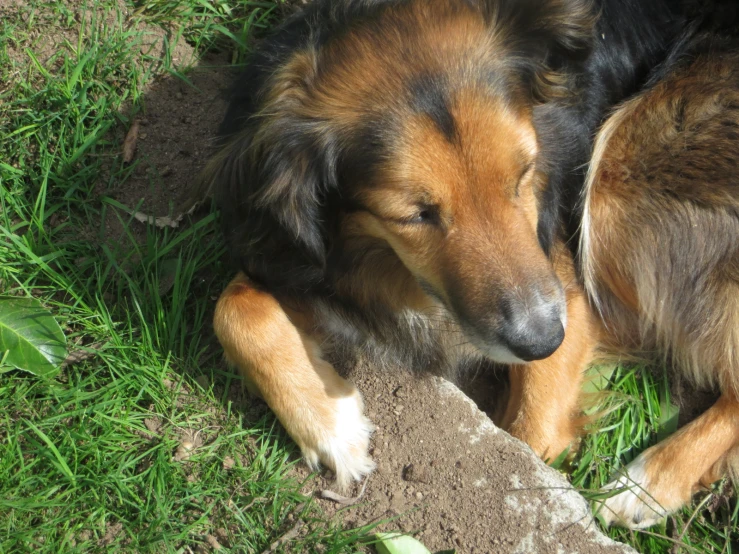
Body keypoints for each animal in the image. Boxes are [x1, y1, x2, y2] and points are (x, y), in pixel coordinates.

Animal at [204, 0, 739, 528]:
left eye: (524, 173)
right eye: (415, 215)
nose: (543, 340)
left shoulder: (568, 289)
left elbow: (530, 439)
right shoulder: (300, 259)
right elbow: (232, 309)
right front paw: (331, 425)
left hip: (618, 179)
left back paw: (646, 484)